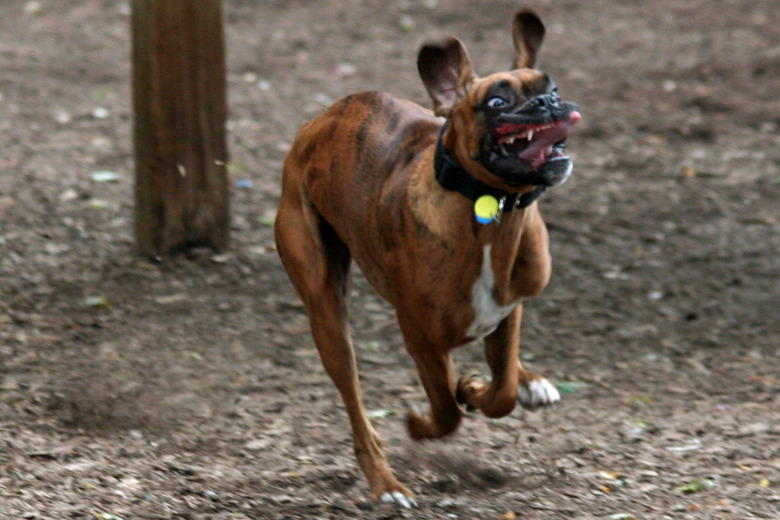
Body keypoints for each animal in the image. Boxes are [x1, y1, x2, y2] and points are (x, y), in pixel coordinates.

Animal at [274, 9, 580, 508]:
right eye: (497, 102)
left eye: (550, 88)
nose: (549, 103)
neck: (493, 209)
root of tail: (322, 120)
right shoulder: (422, 341)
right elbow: (446, 410)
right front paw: (425, 421)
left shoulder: (508, 310)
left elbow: (502, 391)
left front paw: (479, 387)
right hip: (327, 315)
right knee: (357, 407)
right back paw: (386, 485)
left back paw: (526, 380)